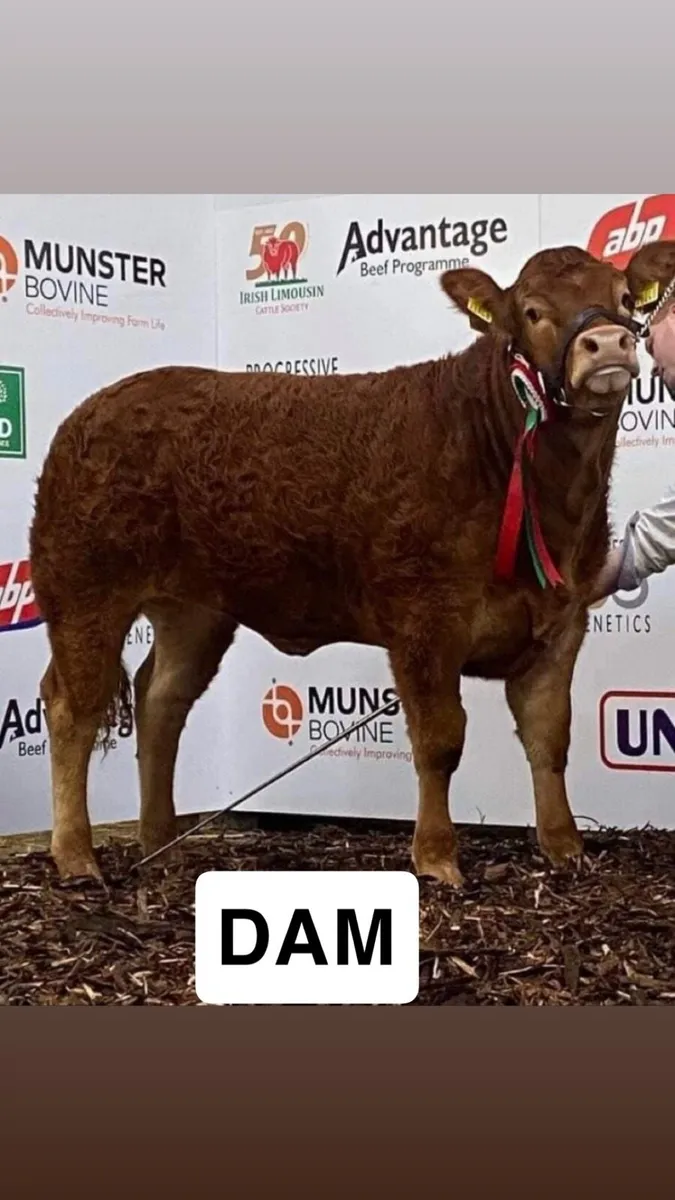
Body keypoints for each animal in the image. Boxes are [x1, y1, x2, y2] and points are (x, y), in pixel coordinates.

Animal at [28, 239, 675, 886]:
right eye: (534, 311)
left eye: (624, 298)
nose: (609, 343)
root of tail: (92, 409)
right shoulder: (423, 620)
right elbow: (440, 740)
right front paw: (436, 857)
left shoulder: (561, 621)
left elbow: (550, 737)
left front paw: (565, 847)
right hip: (83, 589)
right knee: (72, 706)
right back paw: (76, 854)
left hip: (194, 609)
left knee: (161, 698)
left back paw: (161, 843)